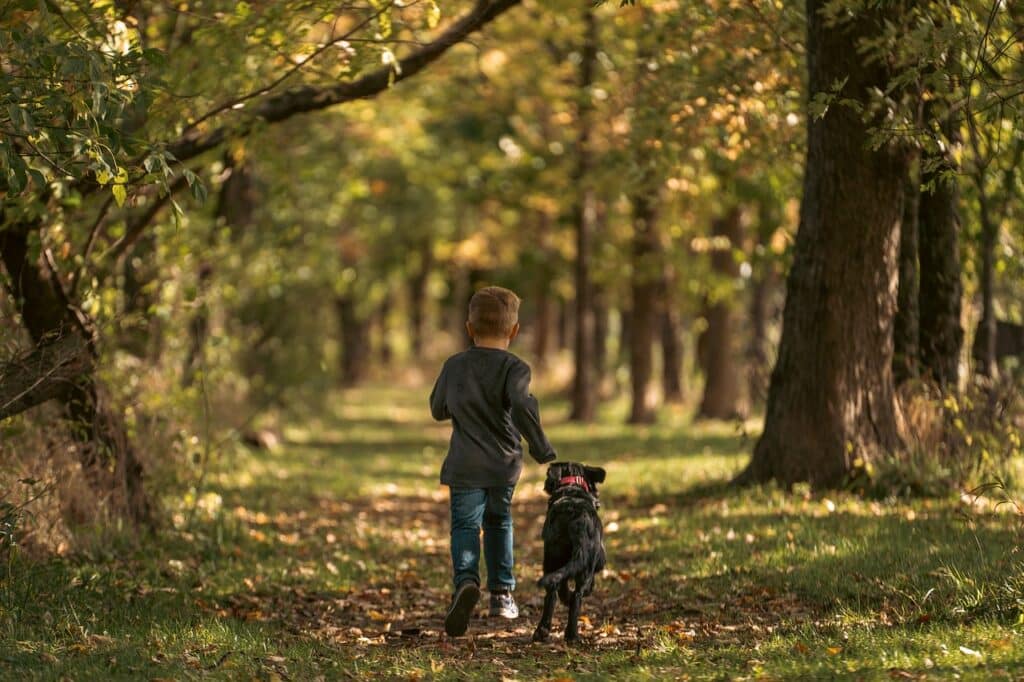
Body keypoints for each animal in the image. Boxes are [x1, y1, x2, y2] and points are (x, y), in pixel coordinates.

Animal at [532, 458, 602, 638]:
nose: (598, 499)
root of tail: (576, 520)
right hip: (585, 566)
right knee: (577, 596)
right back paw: (572, 634)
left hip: (552, 559)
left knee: (552, 592)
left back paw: (542, 630)